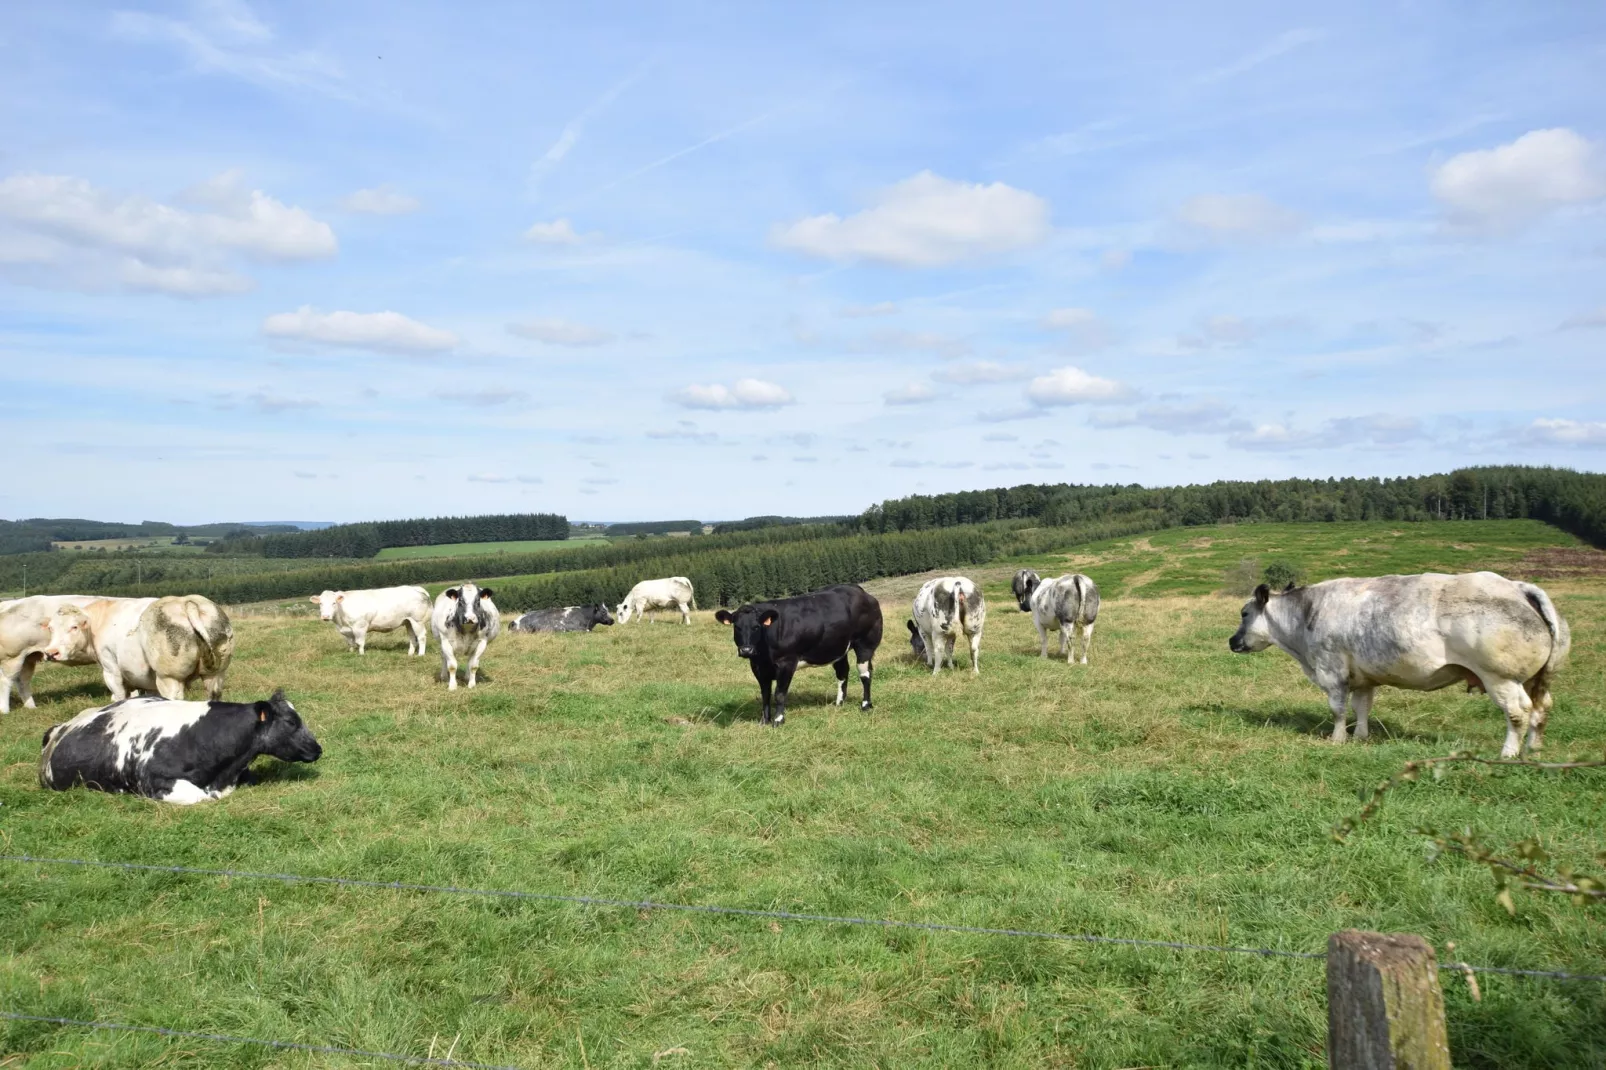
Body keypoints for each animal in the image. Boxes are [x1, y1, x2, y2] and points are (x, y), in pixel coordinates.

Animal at [719, 584, 886, 726]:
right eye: (737, 627)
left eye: (756, 627)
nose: (746, 650)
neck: (764, 656)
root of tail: (861, 592)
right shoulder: (758, 667)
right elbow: (765, 694)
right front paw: (764, 721)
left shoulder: (787, 662)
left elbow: (779, 693)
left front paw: (778, 720)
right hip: (838, 647)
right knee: (842, 672)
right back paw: (839, 703)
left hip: (865, 644)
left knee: (865, 674)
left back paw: (865, 705)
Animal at [1226, 571, 1567, 755]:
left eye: (1244, 613)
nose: (1232, 641)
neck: (1306, 614)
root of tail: (1516, 586)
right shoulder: (1363, 677)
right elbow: (1362, 707)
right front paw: (1360, 736)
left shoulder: (1331, 670)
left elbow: (1338, 710)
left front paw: (1337, 739)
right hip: (1536, 679)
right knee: (1541, 709)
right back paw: (1534, 748)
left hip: (1501, 678)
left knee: (1518, 712)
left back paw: (1508, 752)